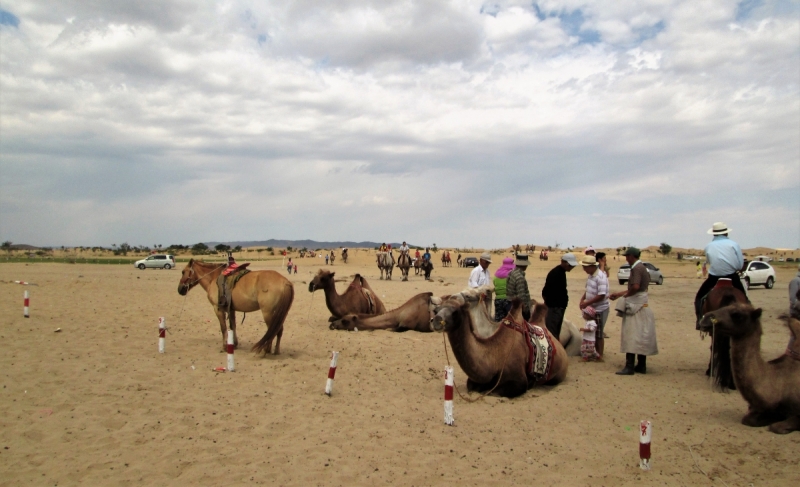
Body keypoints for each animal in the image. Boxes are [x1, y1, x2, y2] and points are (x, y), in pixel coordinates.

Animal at [432, 288, 568, 398]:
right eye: (436, 310)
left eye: (455, 312)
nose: (436, 320)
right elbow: (471, 386)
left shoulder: (519, 382)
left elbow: (493, 392)